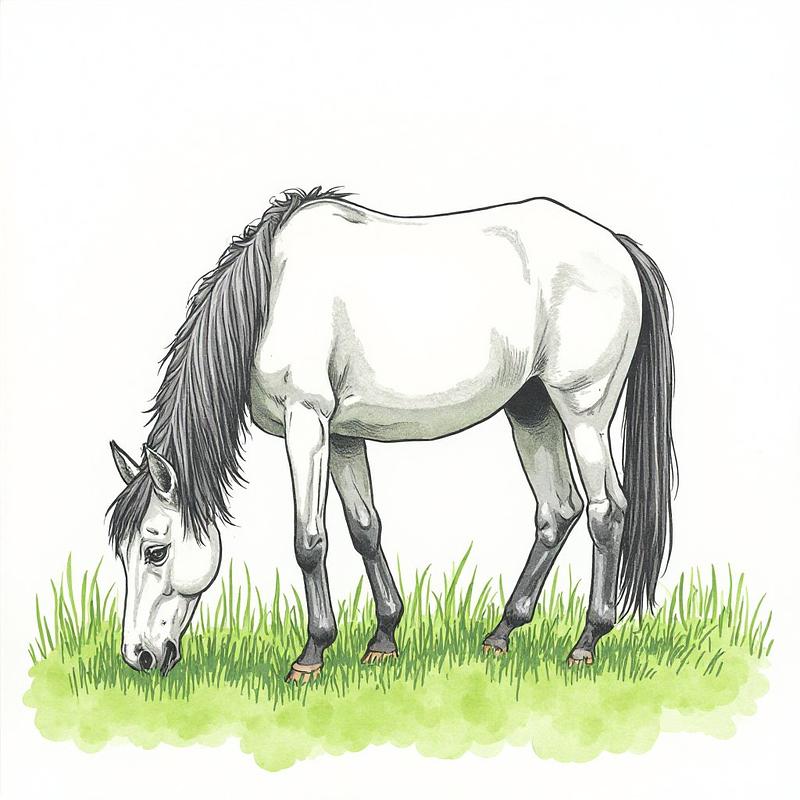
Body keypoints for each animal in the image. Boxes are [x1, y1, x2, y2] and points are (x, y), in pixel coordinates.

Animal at [107, 187, 675, 681]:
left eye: (155, 551)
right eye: (122, 551)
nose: (139, 657)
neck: (273, 293)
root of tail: (616, 245)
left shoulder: (306, 423)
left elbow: (309, 540)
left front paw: (312, 654)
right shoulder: (340, 434)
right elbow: (364, 527)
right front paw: (383, 638)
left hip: (583, 412)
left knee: (606, 511)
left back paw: (587, 641)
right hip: (532, 409)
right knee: (558, 510)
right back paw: (501, 633)